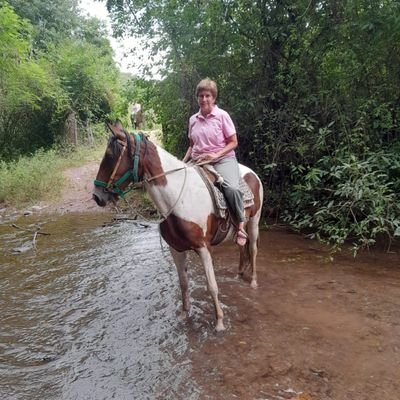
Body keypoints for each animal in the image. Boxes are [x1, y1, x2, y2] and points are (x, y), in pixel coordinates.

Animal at [92, 122, 264, 332]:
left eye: (110, 156)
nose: (97, 196)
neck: (178, 198)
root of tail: (252, 173)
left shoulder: (203, 248)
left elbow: (212, 286)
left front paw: (220, 323)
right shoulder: (175, 249)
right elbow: (183, 284)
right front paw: (184, 315)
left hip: (255, 221)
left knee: (253, 249)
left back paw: (253, 281)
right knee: (241, 245)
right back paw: (239, 274)